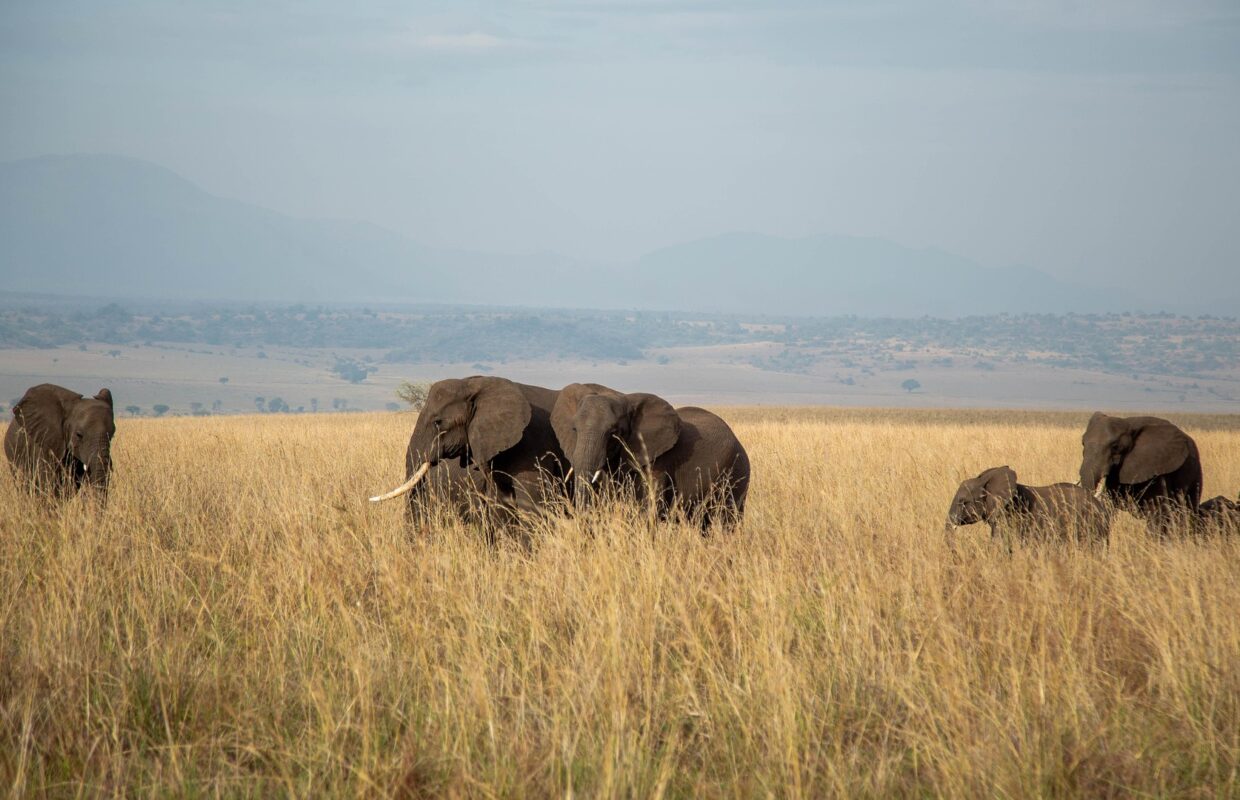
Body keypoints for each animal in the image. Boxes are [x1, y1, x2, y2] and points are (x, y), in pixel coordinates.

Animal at [550, 383, 750, 530]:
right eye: (574, 429)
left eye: (613, 433)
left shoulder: (658, 462)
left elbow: (649, 509)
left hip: (736, 472)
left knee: (726, 521)